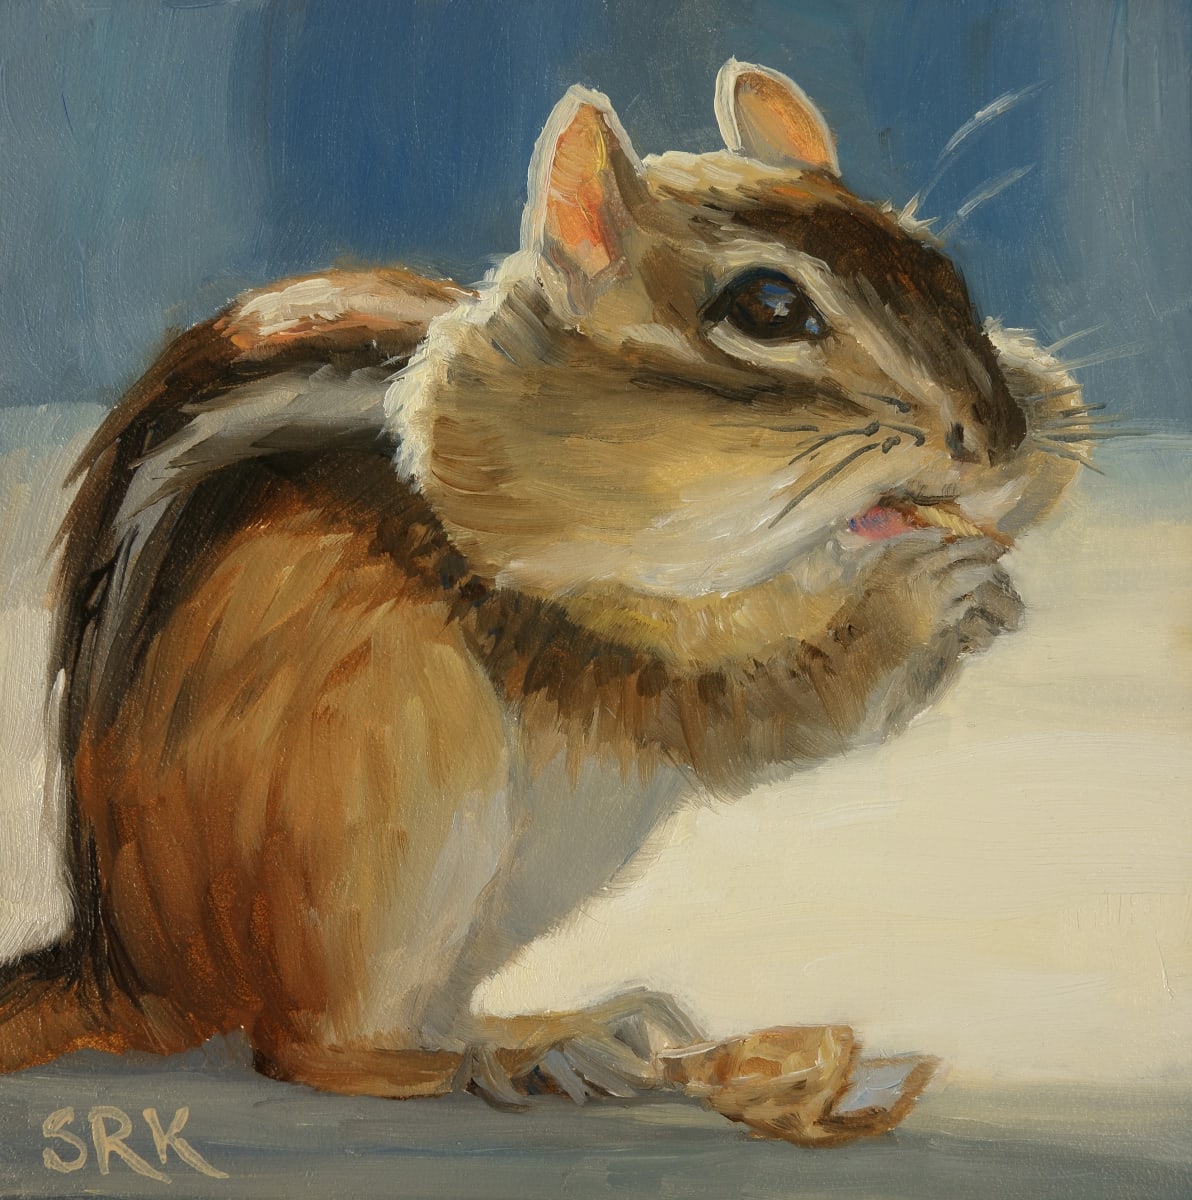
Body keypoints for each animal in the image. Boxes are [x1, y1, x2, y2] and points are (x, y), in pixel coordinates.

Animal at [0, 61, 1087, 1144]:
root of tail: (131, 973)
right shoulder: (578, 637)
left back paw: (607, 1030)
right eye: (771, 308)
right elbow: (769, 708)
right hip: (373, 805)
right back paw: (521, 1058)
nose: (1000, 433)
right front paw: (924, 600)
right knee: (316, 1049)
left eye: (938, 265)